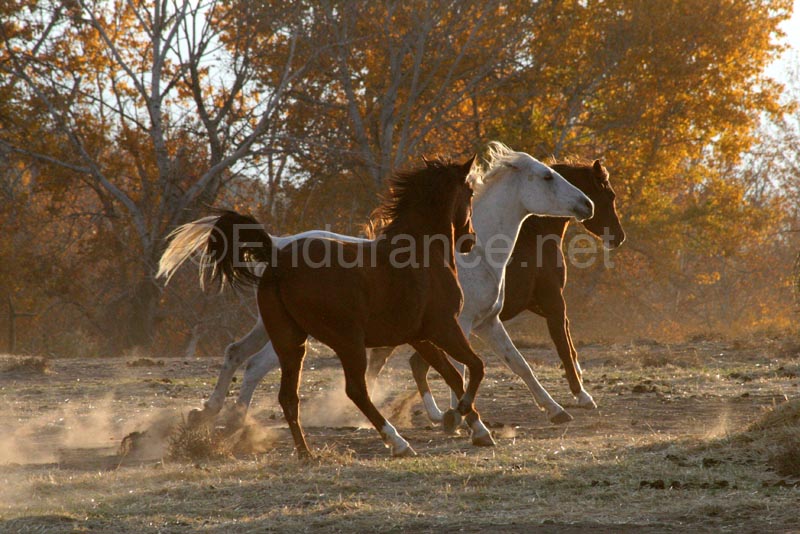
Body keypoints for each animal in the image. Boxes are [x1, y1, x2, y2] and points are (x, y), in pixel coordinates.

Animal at [203, 156, 494, 460]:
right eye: (470, 193)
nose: (469, 238)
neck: (423, 253)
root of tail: (277, 257)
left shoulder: (420, 336)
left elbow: (453, 375)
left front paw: (478, 430)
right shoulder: (444, 327)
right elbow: (475, 366)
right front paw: (462, 412)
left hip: (291, 340)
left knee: (288, 396)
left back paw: (305, 452)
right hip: (347, 341)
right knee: (356, 390)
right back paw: (398, 442)